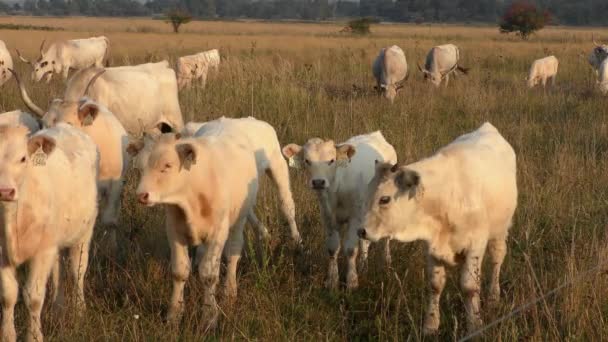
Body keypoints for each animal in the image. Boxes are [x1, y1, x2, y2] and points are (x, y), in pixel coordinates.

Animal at [0, 123, 98, 342]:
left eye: (23, 158)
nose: (5, 191)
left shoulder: (42, 251)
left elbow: (34, 297)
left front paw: (34, 336)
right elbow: (8, 295)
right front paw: (7, 335)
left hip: (83, 233)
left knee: (77, 271)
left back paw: (79, 311)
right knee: (56, 271)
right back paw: (58, 308)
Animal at [128, 131, 258, 328]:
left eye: (167, 165)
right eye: (140, 168)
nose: (142, 195)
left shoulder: (218, 233)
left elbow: (209, 275)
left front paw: (209, 317)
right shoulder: (174, 231)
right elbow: (179, 271)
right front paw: (174, 314)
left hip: (239, 220)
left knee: (233, 254)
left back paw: (229, 291)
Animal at [282, 132, 396, 290]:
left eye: (331, 160)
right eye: (307, 161)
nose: (318, 182)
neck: (337, 187)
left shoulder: (355, 217)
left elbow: (350, 249)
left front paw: (352, 282)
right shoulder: (327, 216)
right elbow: (332, 248)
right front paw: (332, 281)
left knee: (385, 240)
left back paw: (386, 261)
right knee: (364, 242)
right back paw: (364, 265)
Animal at [358, 122, 516, 334]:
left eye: (384, 199)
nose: (361, 231)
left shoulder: (475, 245)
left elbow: (469, 287)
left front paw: (475, 324)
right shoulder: (431, 247)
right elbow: (435, 285)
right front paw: (431, 325)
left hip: (500, 230)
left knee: (497, 260)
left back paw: (493, 297)